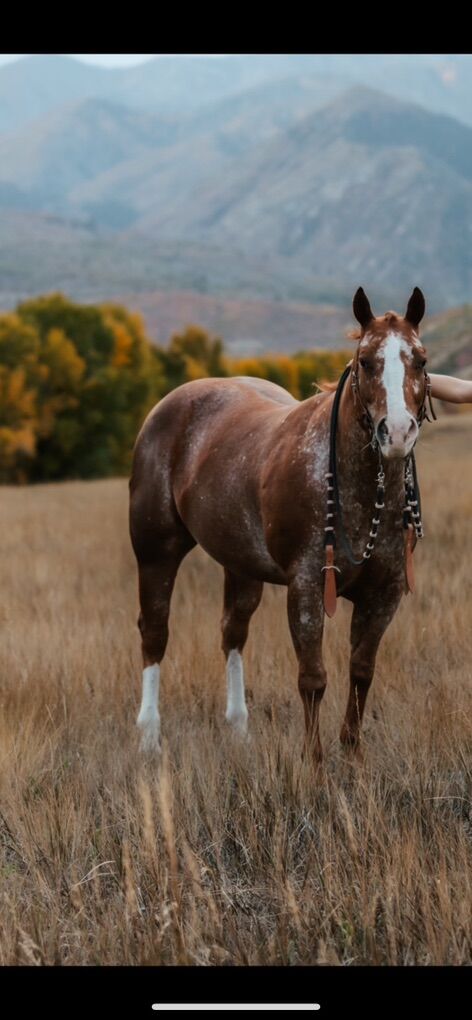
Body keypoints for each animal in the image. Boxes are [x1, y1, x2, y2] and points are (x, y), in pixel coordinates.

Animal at [129, 287, 431, 763]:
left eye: (419, 359)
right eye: (366, 361)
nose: (397, 432)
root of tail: (169, 405)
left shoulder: (385, 592)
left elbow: (362, 672)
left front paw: (353, 755)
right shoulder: (306, 586)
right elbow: (313, 678)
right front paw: (314, 762)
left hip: (241, 564)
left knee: (232, 631)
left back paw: (238, 728)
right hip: (155, 551)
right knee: (155, 633)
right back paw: (149, 738)